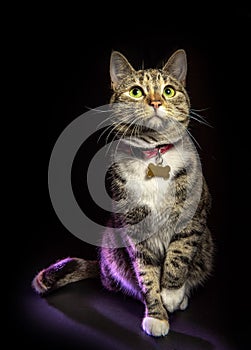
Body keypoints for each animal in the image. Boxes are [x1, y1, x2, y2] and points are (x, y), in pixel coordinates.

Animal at [32, 49, 215, 336]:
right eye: (137, 91)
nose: (155, 101)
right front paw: (157, 315)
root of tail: (101, 269)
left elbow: (179, 254)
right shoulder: (133, 227)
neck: (153, 154)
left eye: (169, 90)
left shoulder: (193, 216)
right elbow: (146, 274)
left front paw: (172, 294)